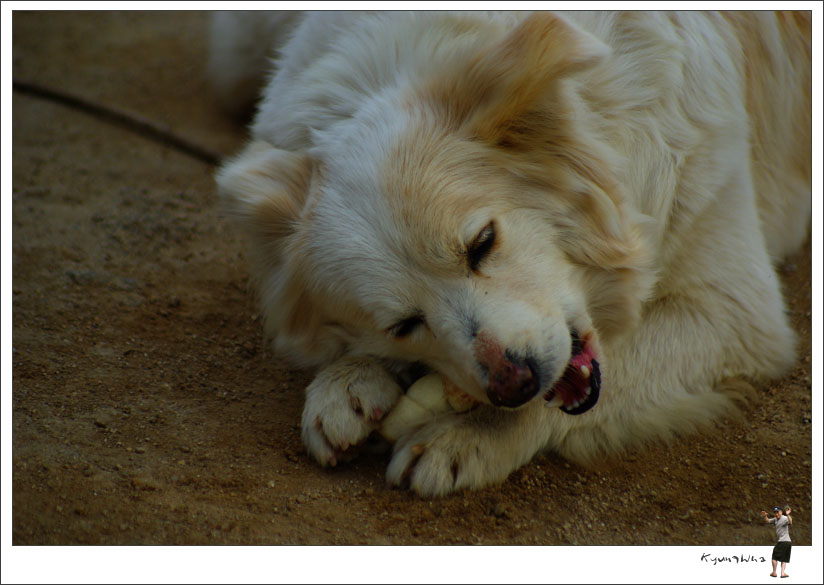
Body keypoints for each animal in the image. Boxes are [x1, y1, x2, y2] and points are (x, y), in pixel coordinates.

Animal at [212, 11, 812, 496]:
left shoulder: (735, 315)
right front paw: (347, 384)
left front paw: (465, 437)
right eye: (403, 325)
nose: (514, 382)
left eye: (482, 243)